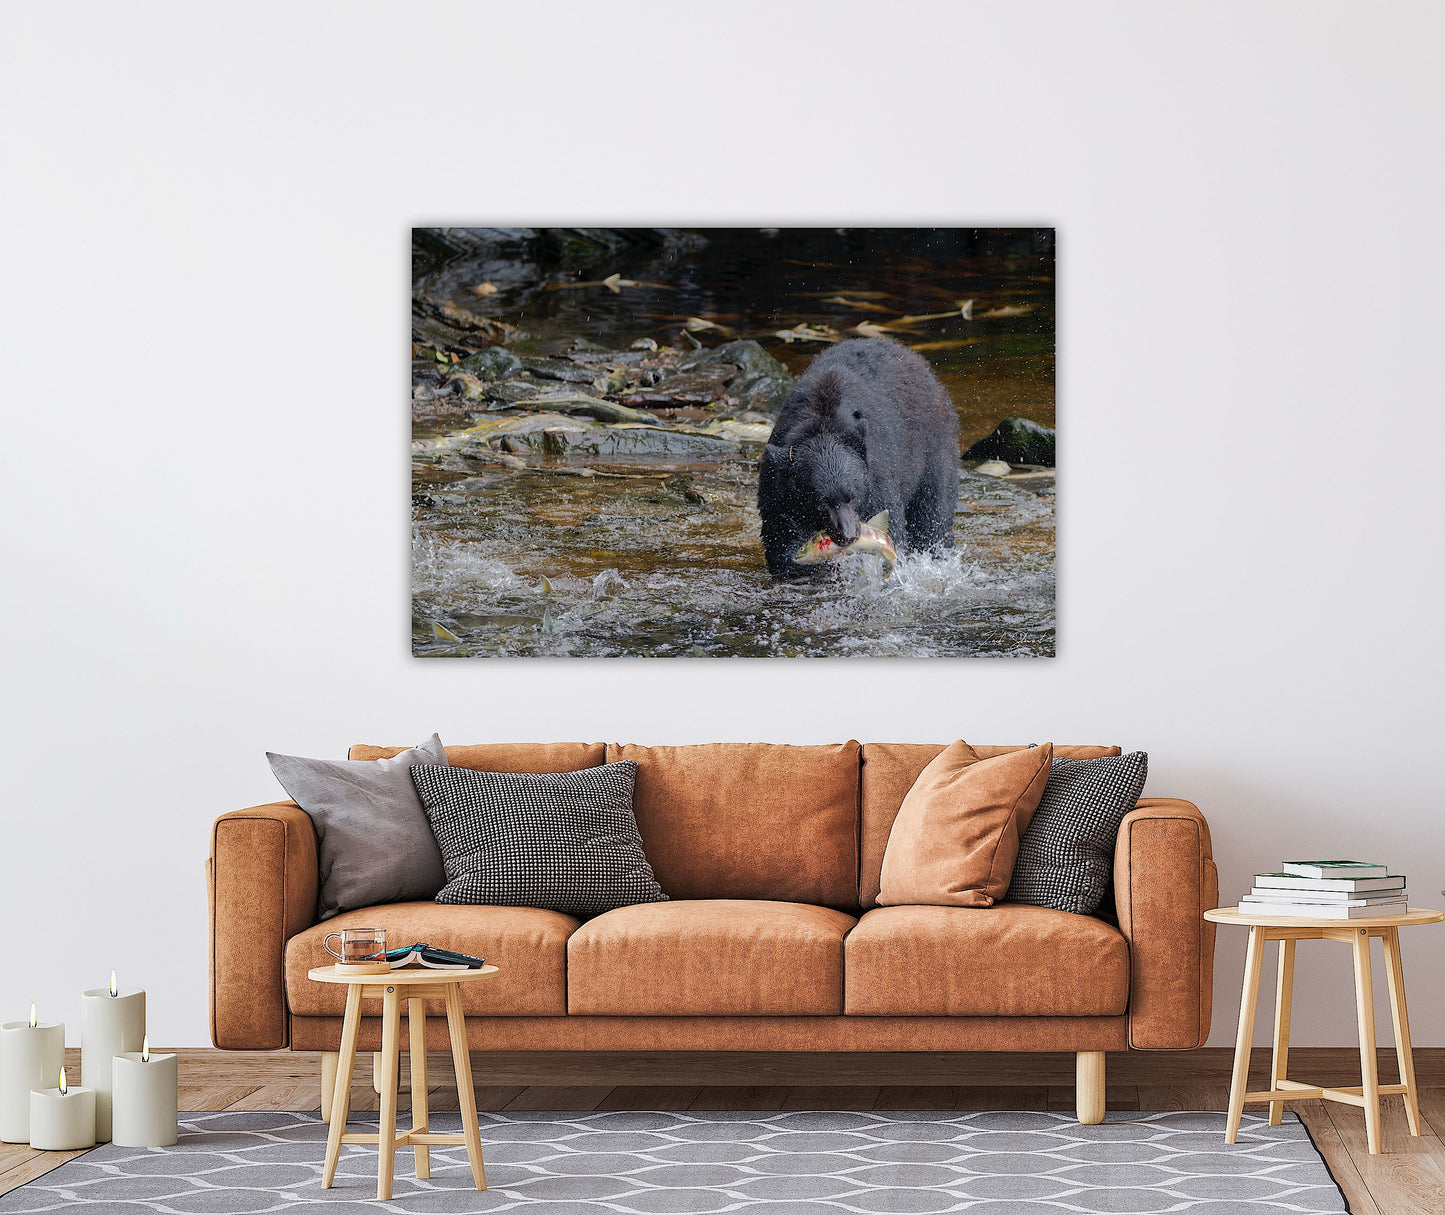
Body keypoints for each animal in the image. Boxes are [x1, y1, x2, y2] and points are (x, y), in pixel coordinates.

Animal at [757, 337, 960, 578]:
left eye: (852, 497)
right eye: (822, 502)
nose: (849, 535)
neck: (823, 421)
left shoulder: (876, 472)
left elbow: (890, 519)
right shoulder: (777, 480)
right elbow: (779, 530)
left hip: (934, 447)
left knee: (933, 511)